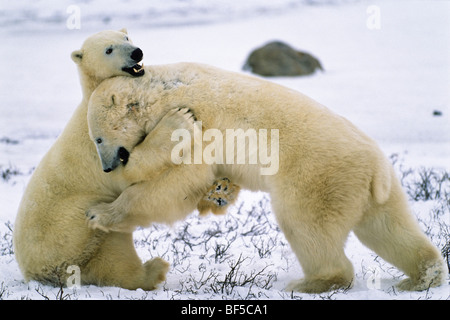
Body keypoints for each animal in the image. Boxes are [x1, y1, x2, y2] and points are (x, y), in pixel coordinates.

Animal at [12, 30, 230, 290]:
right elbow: (130, 170)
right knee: (115, 257)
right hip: (74, 231)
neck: (92, 101)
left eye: (126, 37)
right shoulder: (100, 149)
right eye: (109, 49)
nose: (137, 52)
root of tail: (35, 273)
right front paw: (179, 121)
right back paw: (155, 270)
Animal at [86, 62, 448, 292]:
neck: (161, 91)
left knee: (306, 225)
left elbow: (177, 182)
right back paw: (421, 277)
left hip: (317, 175)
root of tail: (376, 169)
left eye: (98, 138)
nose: (107, 167)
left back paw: (310, 282)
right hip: (376, 189)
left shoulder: (200, 124)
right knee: (388, 228)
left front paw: (100, 213)